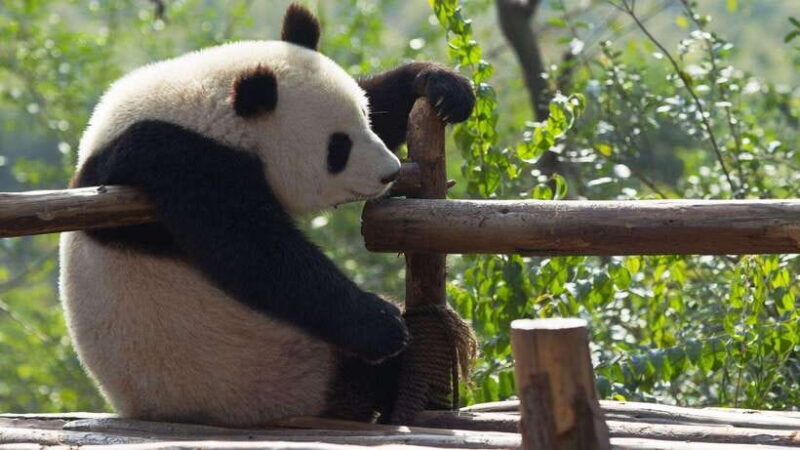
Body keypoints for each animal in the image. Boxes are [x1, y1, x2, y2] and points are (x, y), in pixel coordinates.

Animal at [59, 3, 474, 426]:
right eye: (337, 149)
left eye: (365, 117)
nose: (389, 172)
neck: (206, 109)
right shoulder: (178, 157)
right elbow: (255, 252)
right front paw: (382, 324)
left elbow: (385, 97)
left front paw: (442, 87)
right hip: (280, 373)